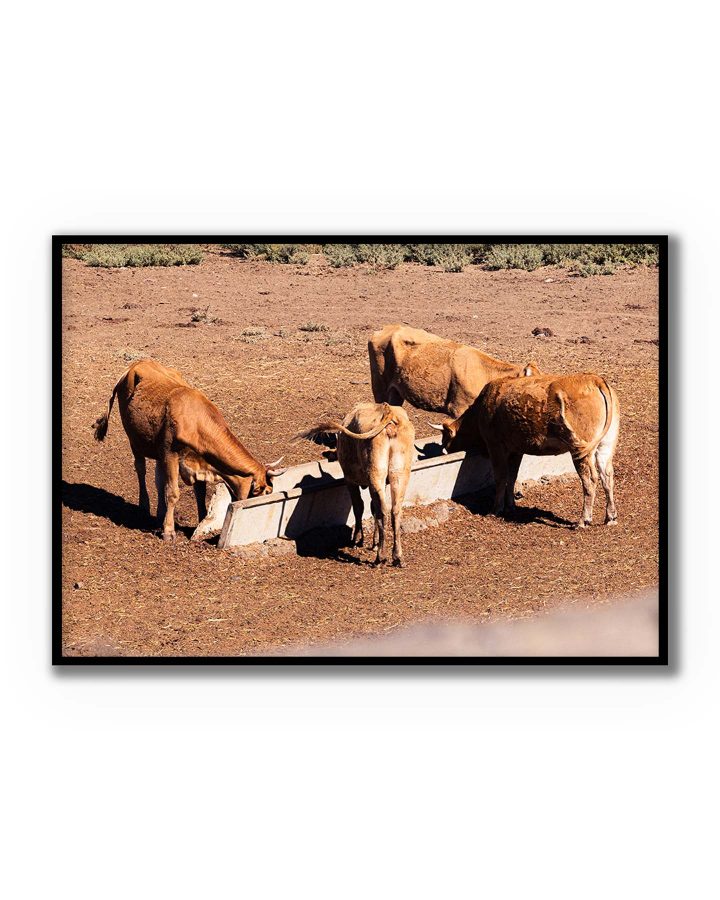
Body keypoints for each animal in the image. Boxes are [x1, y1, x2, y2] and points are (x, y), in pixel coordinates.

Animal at [92, 359, 286, 541]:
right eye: (266, 491)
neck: (196, 421)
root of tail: (135, 365)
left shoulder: (198, 461)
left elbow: (199, 493)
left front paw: (200, 522)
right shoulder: (170, 453)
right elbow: (172, 492)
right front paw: (169, 531)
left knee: (158, 478)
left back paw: (160, 514)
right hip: (135, 440)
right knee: (141, 469)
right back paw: (144, 507)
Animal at [296, 402, 414, 567]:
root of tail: (388, 412)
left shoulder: (350, 480)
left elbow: (359, 506)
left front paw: (357, 539)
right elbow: (371, 507)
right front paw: (373, 542)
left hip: (375, 475)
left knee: (382, 511)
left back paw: (380, 557)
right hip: (399, 475)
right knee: (395, 510)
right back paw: (397, 557)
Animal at [433, 372, 620, 528]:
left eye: (446, 438)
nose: (444, 450)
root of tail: (594, 380)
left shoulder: (496, 446)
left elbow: (500, 477)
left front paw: (496, 508)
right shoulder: (516, 450)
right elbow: (512, 477)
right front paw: (510, 506)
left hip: (580, 450)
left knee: (590, 480)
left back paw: (583, 520)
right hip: (605, 446)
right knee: (607, 476)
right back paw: (610, 517)